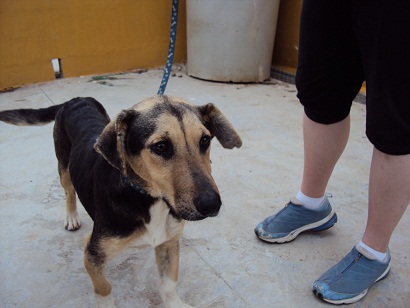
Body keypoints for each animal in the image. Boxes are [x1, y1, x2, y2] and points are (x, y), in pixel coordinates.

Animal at [0, 95, 240, 306]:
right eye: (161, 146)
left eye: (205, 140)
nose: (212, 205)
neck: (151, 200)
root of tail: (75, 99)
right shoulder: (92, 251)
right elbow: (104, 289)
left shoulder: (169, 243)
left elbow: (168, 285)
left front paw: (176, 305)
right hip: (64, 166)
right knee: (69, 192)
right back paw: (71, 217)